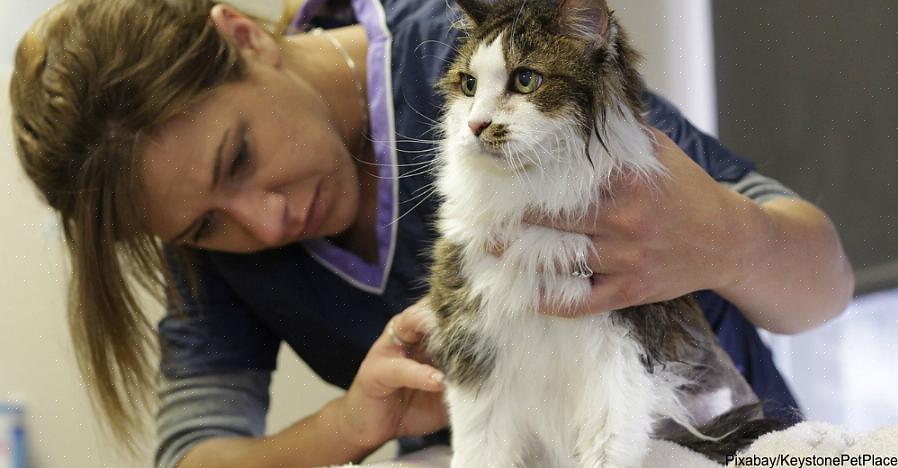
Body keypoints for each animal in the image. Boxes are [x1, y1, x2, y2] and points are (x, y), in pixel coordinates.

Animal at [424, 0, 780, 468]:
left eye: (525, 80)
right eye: (469, 85)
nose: (476, 125)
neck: (533, 195)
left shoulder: (620, 355)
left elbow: (609, 443)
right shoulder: (473, 344)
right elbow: (479, 447)